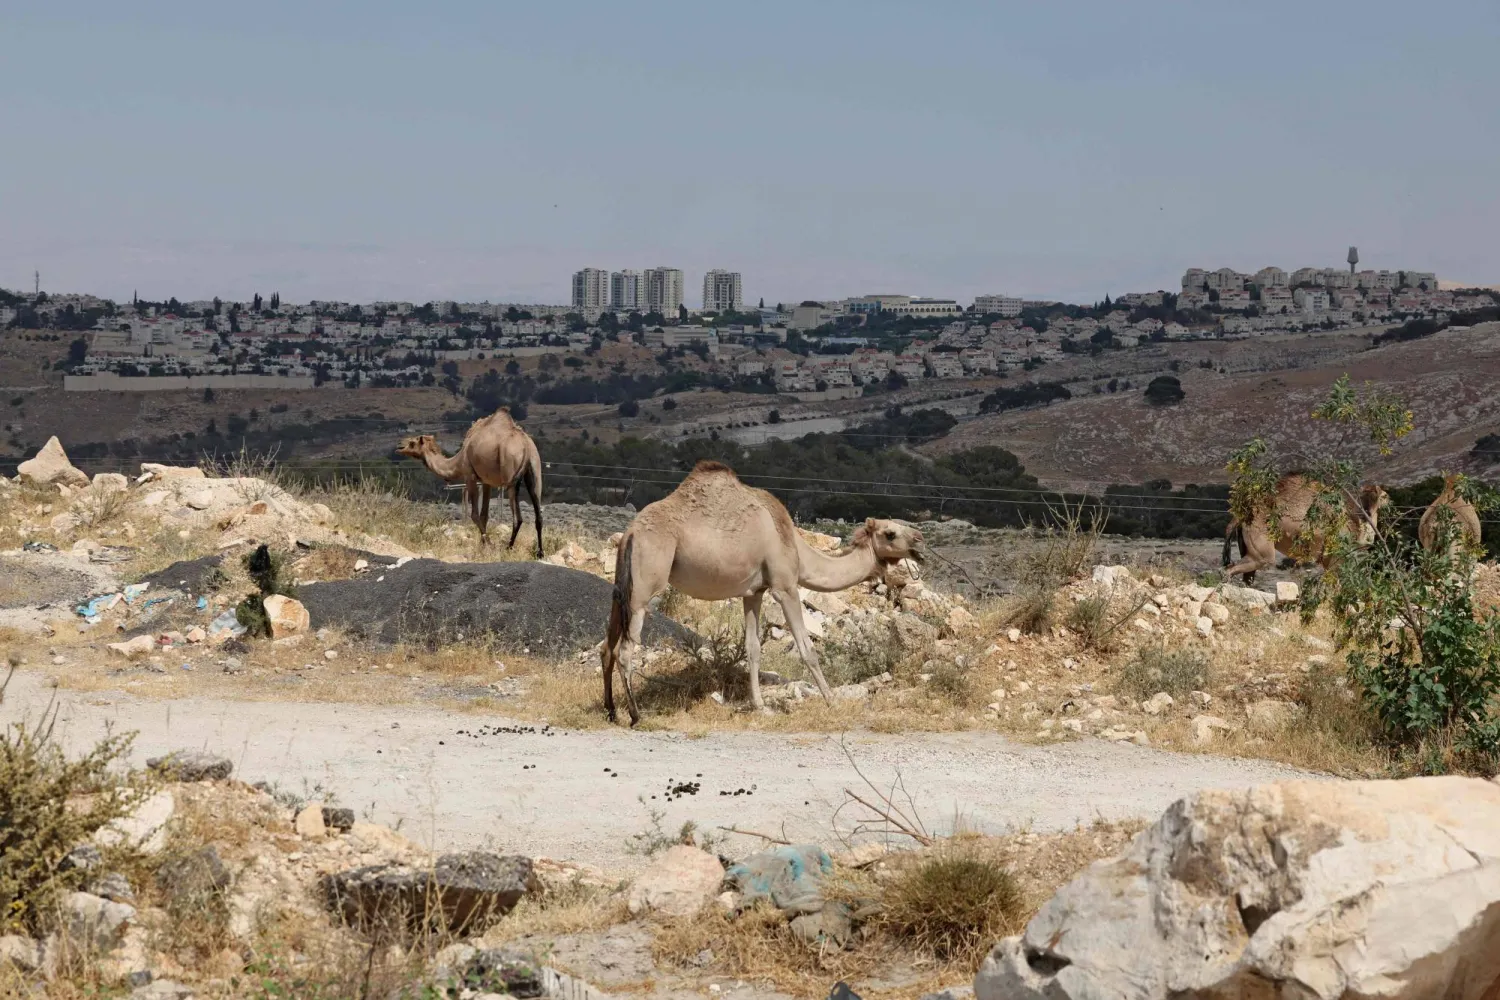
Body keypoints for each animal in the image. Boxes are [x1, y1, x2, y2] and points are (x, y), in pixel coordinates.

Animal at [396, 408, 544, 556]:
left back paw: (508, 548)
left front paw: (489, 544)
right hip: (535, 468)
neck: (458, 461)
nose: (399, 446)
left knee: (517, 518)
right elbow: (484, 515)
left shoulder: (470, 476)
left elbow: (474, 515)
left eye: (412, 443)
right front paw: (482, 545)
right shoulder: (486, 481)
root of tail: (526, 445)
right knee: (538, 510)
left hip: (510, 471)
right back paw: (540, 552)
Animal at [600, 460, 926, 726]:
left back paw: (611, 711)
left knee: (607, 646)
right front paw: (831, 700)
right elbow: (807, 649)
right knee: (625, 649)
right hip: (646, 582)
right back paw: (635, 715)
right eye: (890, 533)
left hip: (622, 586)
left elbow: (753, 647)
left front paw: (760, 706)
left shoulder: (753, 591)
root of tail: (631, 532)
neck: (795, 546)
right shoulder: (784, 586)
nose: (920, 540)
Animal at [1223, 474, 1389, 584]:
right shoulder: (1336, 557)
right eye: (1384, 495)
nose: (1390, 500)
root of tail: (1241, 516)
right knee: (1233, 569)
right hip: (1262, 550)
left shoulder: (1327, 560)